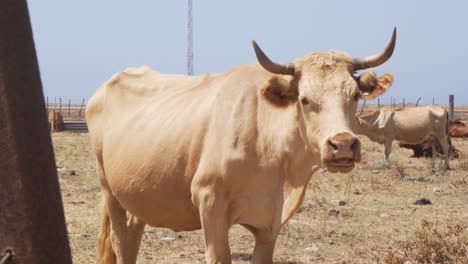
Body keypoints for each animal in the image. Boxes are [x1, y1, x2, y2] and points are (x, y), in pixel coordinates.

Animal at [86, 27, 396, 262]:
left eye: (355, 95)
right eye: (305, 99)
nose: (342, 145)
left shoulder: (270, 222)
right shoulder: (209, 202)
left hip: (138, 192)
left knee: (133, 235)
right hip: (109, 190)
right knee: (120, 238)